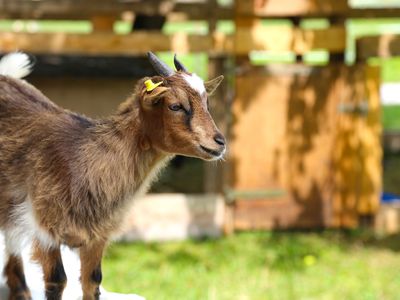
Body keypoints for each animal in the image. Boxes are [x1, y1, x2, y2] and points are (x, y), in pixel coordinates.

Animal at [0, 52, 225, 298]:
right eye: (175, 106)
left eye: (207, 103)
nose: (220, 142)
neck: (85, 157)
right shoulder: (44, 228)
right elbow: (56, 281)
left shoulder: (98, 237)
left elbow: (92, 281)